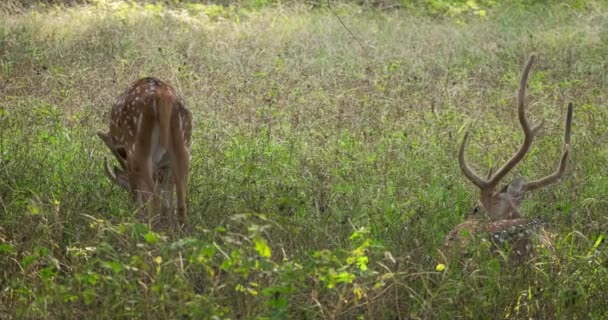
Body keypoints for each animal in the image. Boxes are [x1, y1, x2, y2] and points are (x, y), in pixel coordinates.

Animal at [97, 77, 192, 225]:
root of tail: (162, 96)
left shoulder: (130, 163)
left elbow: (138, 192)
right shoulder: (165, 166)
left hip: (139, 149)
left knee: (154, 196)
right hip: (184, 146)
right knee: (180, 203)